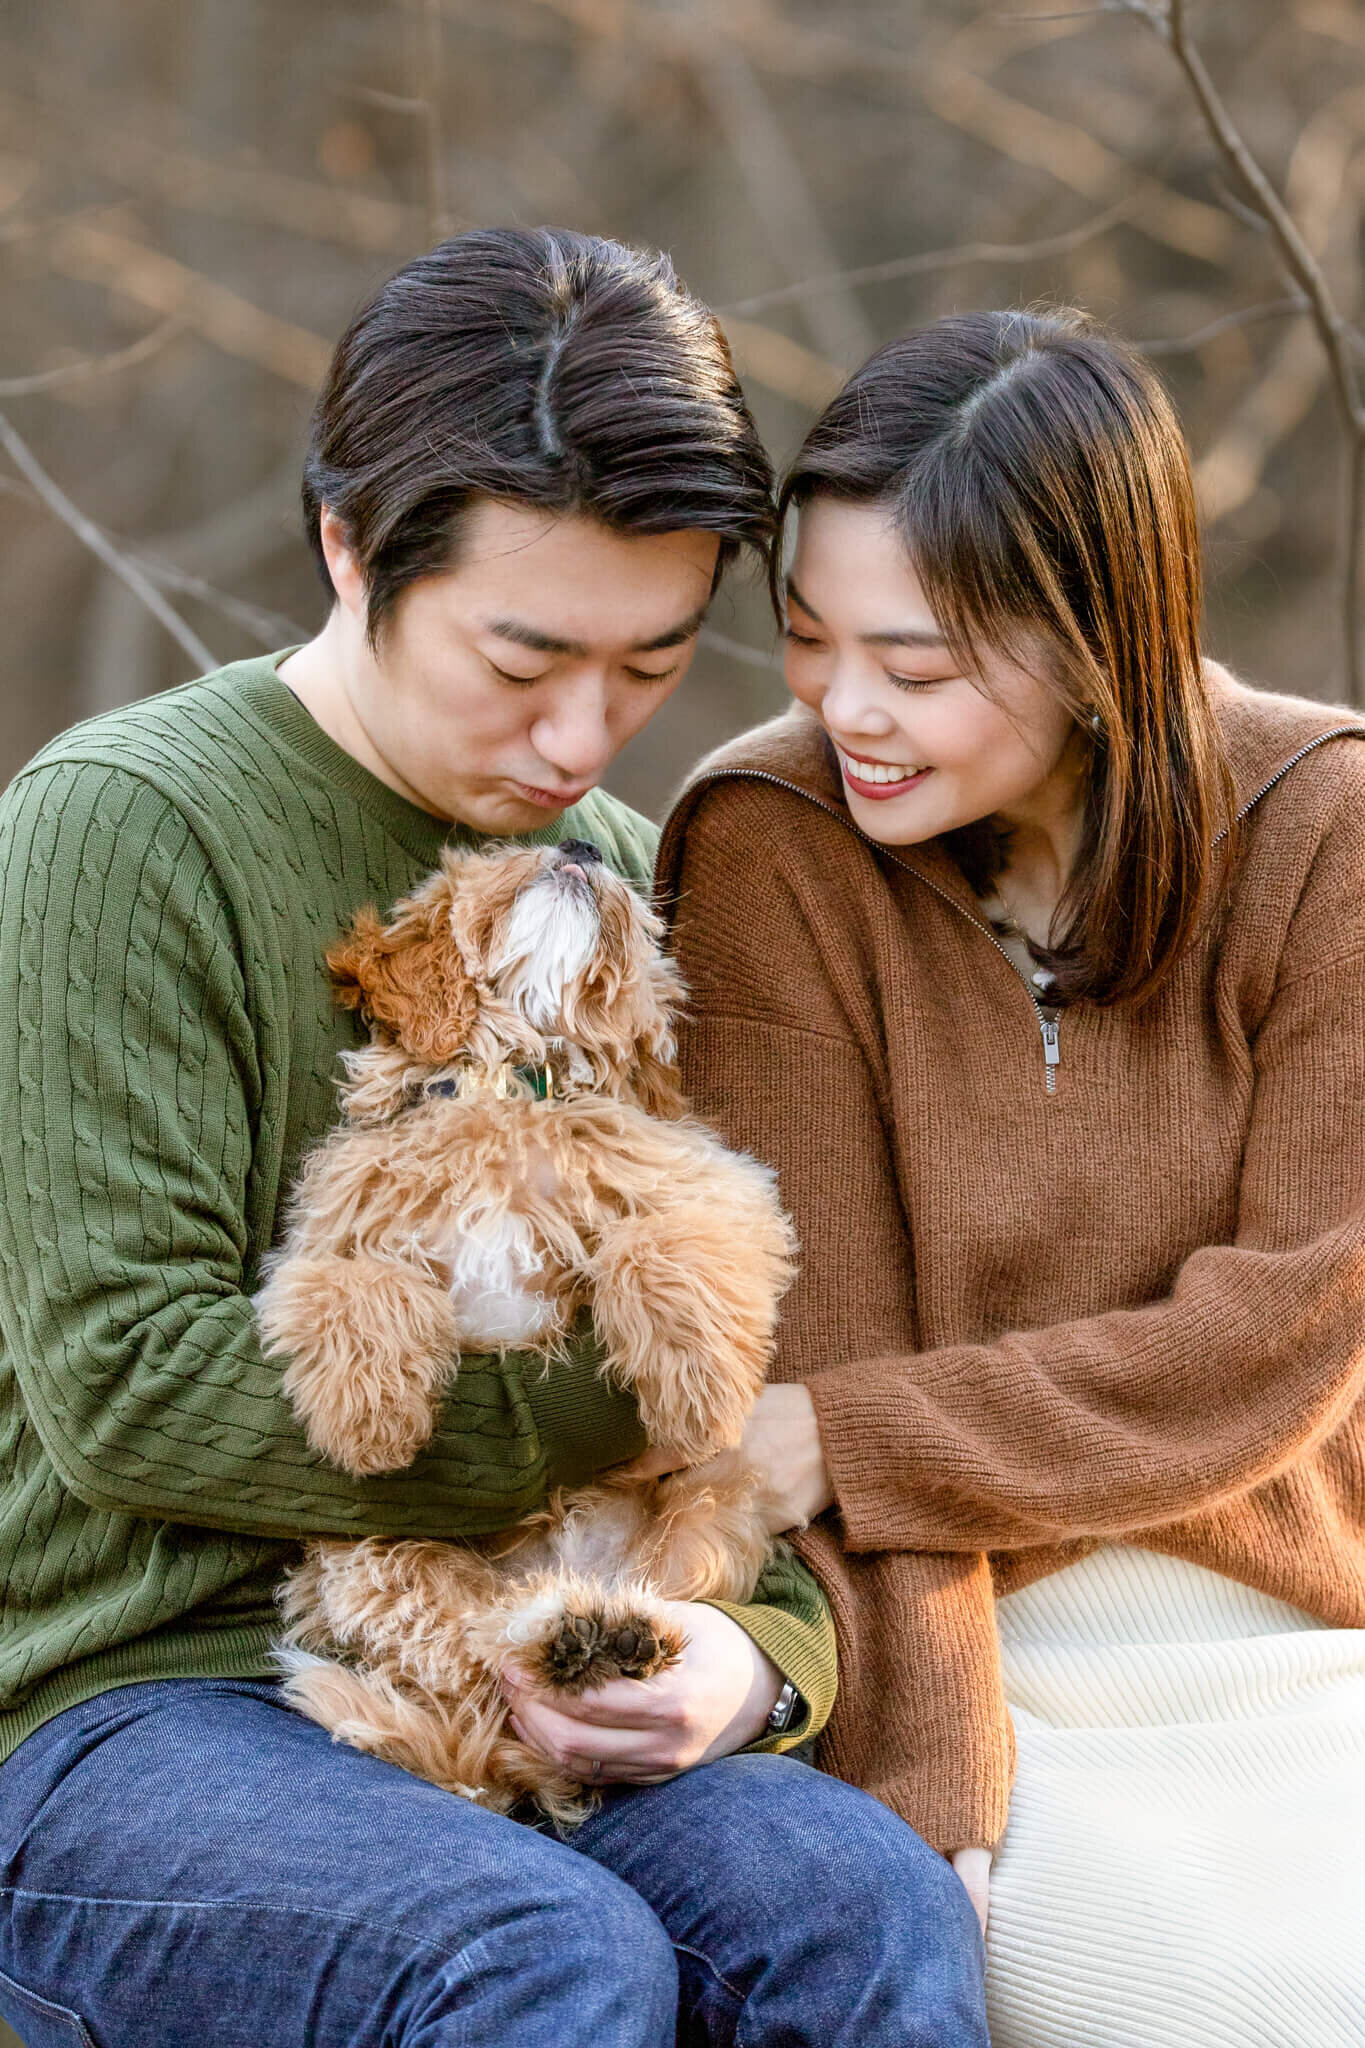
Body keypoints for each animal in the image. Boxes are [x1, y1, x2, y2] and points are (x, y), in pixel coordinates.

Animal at [253, 831, 802, 1826]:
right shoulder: (331, 1241)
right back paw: (563, 1639)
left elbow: (657, 1250)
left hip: (711, 1518)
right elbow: (358, 1292)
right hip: (373, 1564)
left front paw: (700, 1389)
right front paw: (370, 1420)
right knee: (482, 1660)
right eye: (501, 860)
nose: (579, 843)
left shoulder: (710, 1189)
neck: (508, 1086)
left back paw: (605, 1634)